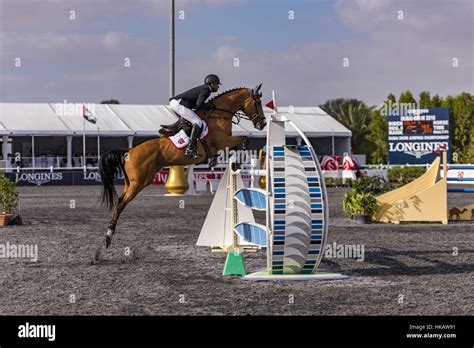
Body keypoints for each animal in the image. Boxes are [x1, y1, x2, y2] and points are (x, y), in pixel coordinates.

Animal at [98, 83, 266, 249]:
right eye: (258, 102)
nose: (262, 124)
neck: (219, 114)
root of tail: (129, 151)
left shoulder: (225, 142)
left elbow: (236, 147)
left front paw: (222, 161)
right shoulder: (223, 141)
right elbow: (244, 139)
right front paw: (235, 161)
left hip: (132, 182)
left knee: (120, 200)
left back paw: (108, 235)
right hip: (139, 182)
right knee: (121, 203)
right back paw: (108, 236)